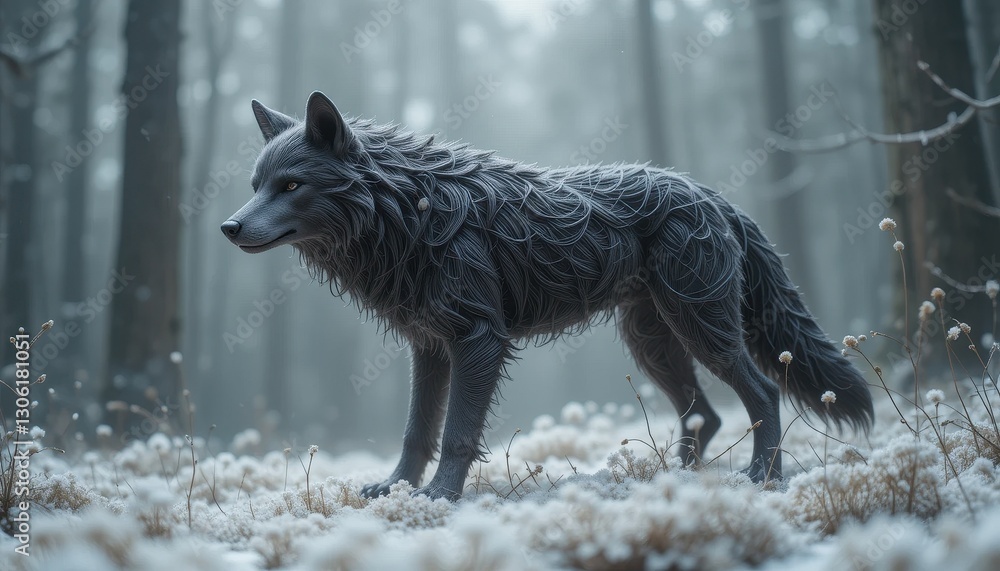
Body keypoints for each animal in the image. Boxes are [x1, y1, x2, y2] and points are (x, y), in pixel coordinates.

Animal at [222, 91, 874, 500]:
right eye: (256, 185)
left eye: (291, 186)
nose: (228, 227)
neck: (409, 210)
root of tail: (714, 196)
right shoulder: (428, 347)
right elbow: (416, 431)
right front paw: (397, 489)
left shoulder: (478, 342)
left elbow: (457, 435)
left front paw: (440, 497)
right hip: (653, 344)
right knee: (703, 415)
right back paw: (679, 489)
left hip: (701, 331)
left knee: (762, 394)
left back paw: (761, 478)